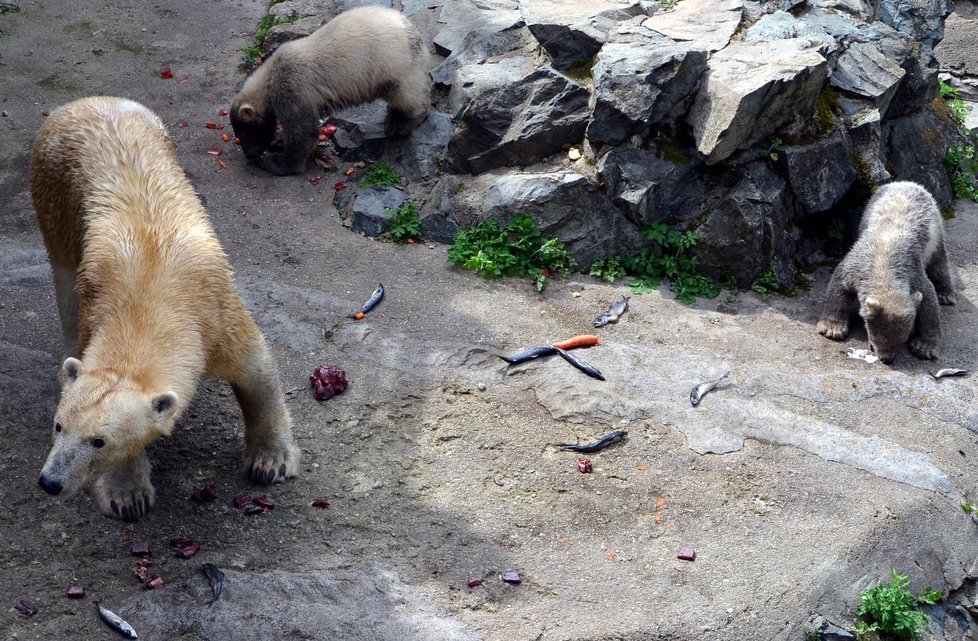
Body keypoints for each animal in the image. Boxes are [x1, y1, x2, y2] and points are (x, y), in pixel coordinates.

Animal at [31, 99, 298, 520]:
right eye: (59, 426)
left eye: (98, 441)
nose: (51, 482)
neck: (149, 289)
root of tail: (82, 103)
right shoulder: (98, 308)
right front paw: (127, 496)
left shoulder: (215, 311)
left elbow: (256, 371)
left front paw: (270, 462)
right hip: (53, 195)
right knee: (64, 280)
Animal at [231, 5, 428, 175]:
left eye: (243, 133)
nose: (249, 155)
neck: (270, 75)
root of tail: (413, 31)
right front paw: (278, 142)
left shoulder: (291, 87)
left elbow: (303, 130)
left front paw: (276, 162)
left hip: (391, 64)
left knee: (407, 95)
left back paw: (402, 123)